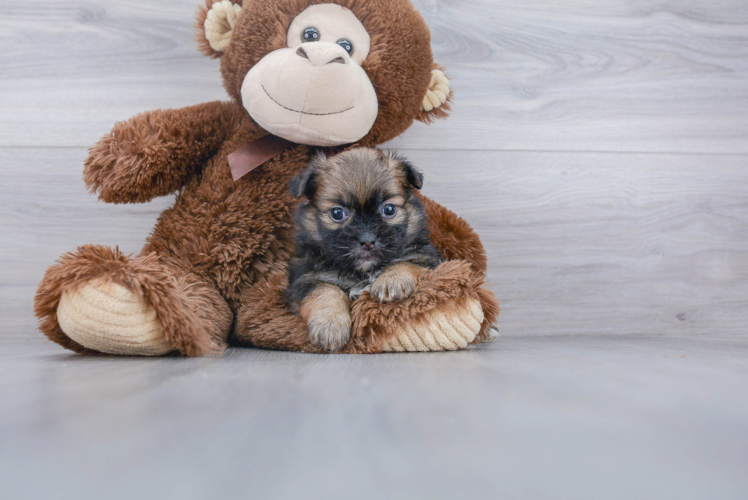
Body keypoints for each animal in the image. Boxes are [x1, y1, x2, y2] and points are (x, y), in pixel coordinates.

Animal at [284, 148, 438, 352]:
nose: (367, 241)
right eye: (337, 213)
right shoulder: (308, 279)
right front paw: (330, 325)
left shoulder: (425, 258)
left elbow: (406, 263)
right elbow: (326, 291)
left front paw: (391, 280)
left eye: (389, 209)